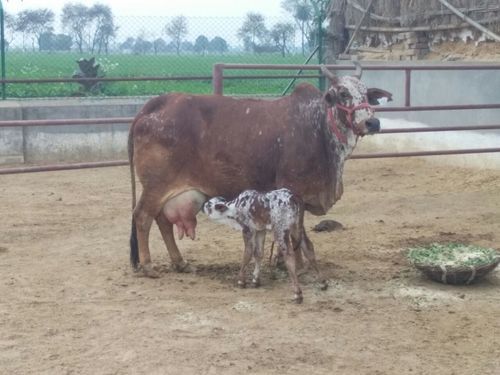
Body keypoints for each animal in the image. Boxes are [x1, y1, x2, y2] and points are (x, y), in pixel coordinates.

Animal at [128, 63, 390, 278]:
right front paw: (294, 265)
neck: (319, 128)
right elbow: (295, 233)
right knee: (142, 217)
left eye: (366, 94)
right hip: (156, 185)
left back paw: (180, 262)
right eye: (343, 94)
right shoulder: (293, 190)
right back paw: (148, 265)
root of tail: (154, 105)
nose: (372, 122)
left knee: (162, 221)